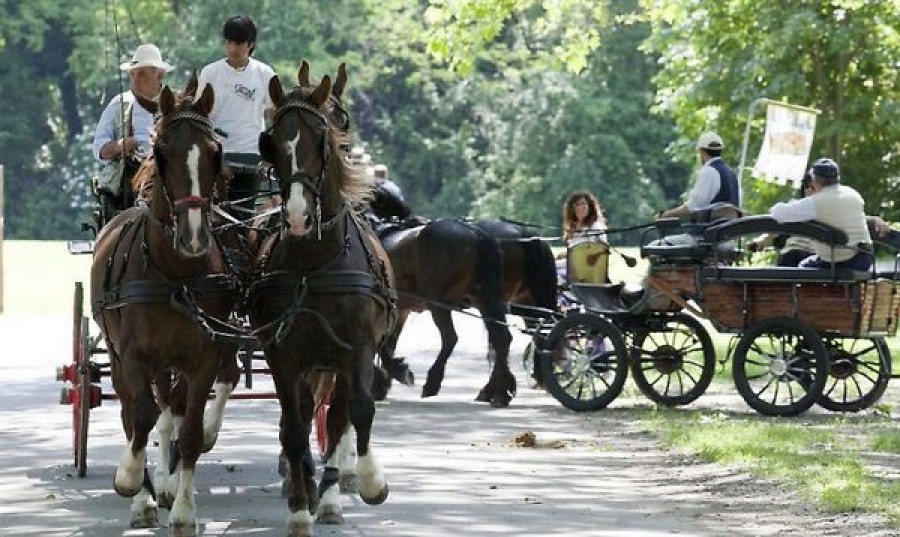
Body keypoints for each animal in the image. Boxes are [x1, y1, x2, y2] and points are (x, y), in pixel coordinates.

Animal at [89, 81, 241, 528]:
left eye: (215, 153)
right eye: (160, 152)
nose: (193, 237)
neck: (175, 272)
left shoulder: (203, 356)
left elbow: (186, 428)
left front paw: (184, 507)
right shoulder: (134, 356)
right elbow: (140, 416)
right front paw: (131, 482)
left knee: (169, 409)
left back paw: (166, 483)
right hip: (119, 354)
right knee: (133, 412)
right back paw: (143, 493)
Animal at [251, 70, 396, 532]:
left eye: (322, 137)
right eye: (273, 140)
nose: (297, 217)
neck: (313, 263)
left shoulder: (356, 349)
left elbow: (357, 412)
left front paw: (369, 481)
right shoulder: (283, 354)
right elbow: (294, 429)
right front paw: (300, 508)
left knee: (335, 418)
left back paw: (330, 494)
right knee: (302, 416)